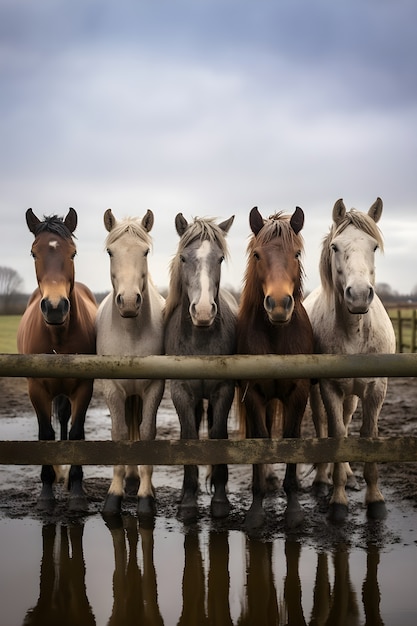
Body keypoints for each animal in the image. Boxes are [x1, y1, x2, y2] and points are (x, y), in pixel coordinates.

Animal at [17, 207, 96, 510]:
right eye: (33, 253)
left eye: (72, 253)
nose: (54, 307)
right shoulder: (36, 389)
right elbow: (46, 435)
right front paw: (46, 493)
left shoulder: (84, 388)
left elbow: (75, 434)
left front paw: (76, 491)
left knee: (66, 419)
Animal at [302, 196, 394, 520]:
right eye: (335, 247)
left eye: (374, 247)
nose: (359, 295)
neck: (354, 332)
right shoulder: (329, 387)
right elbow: (338, 437)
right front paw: (338, 500)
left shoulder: (376, 389)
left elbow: (367, 437)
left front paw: (375, 498)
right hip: (317, 390)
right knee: (323, 424)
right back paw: (322, 479)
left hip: (353, 394)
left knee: (344, 417)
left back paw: (349, 475)